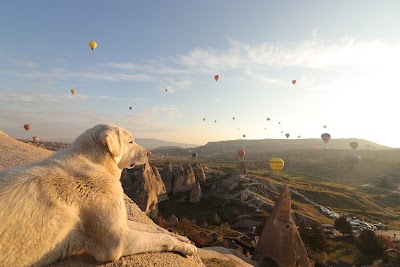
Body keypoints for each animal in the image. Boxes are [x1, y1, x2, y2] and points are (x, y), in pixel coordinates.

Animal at [0, 124, 197, 266]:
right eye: (130, 141)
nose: (150, 153)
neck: (96, 163)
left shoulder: (120, 222)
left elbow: (154, 229)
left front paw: (183, 238)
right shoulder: (118, 242)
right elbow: (161, 238)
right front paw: (184, 247)